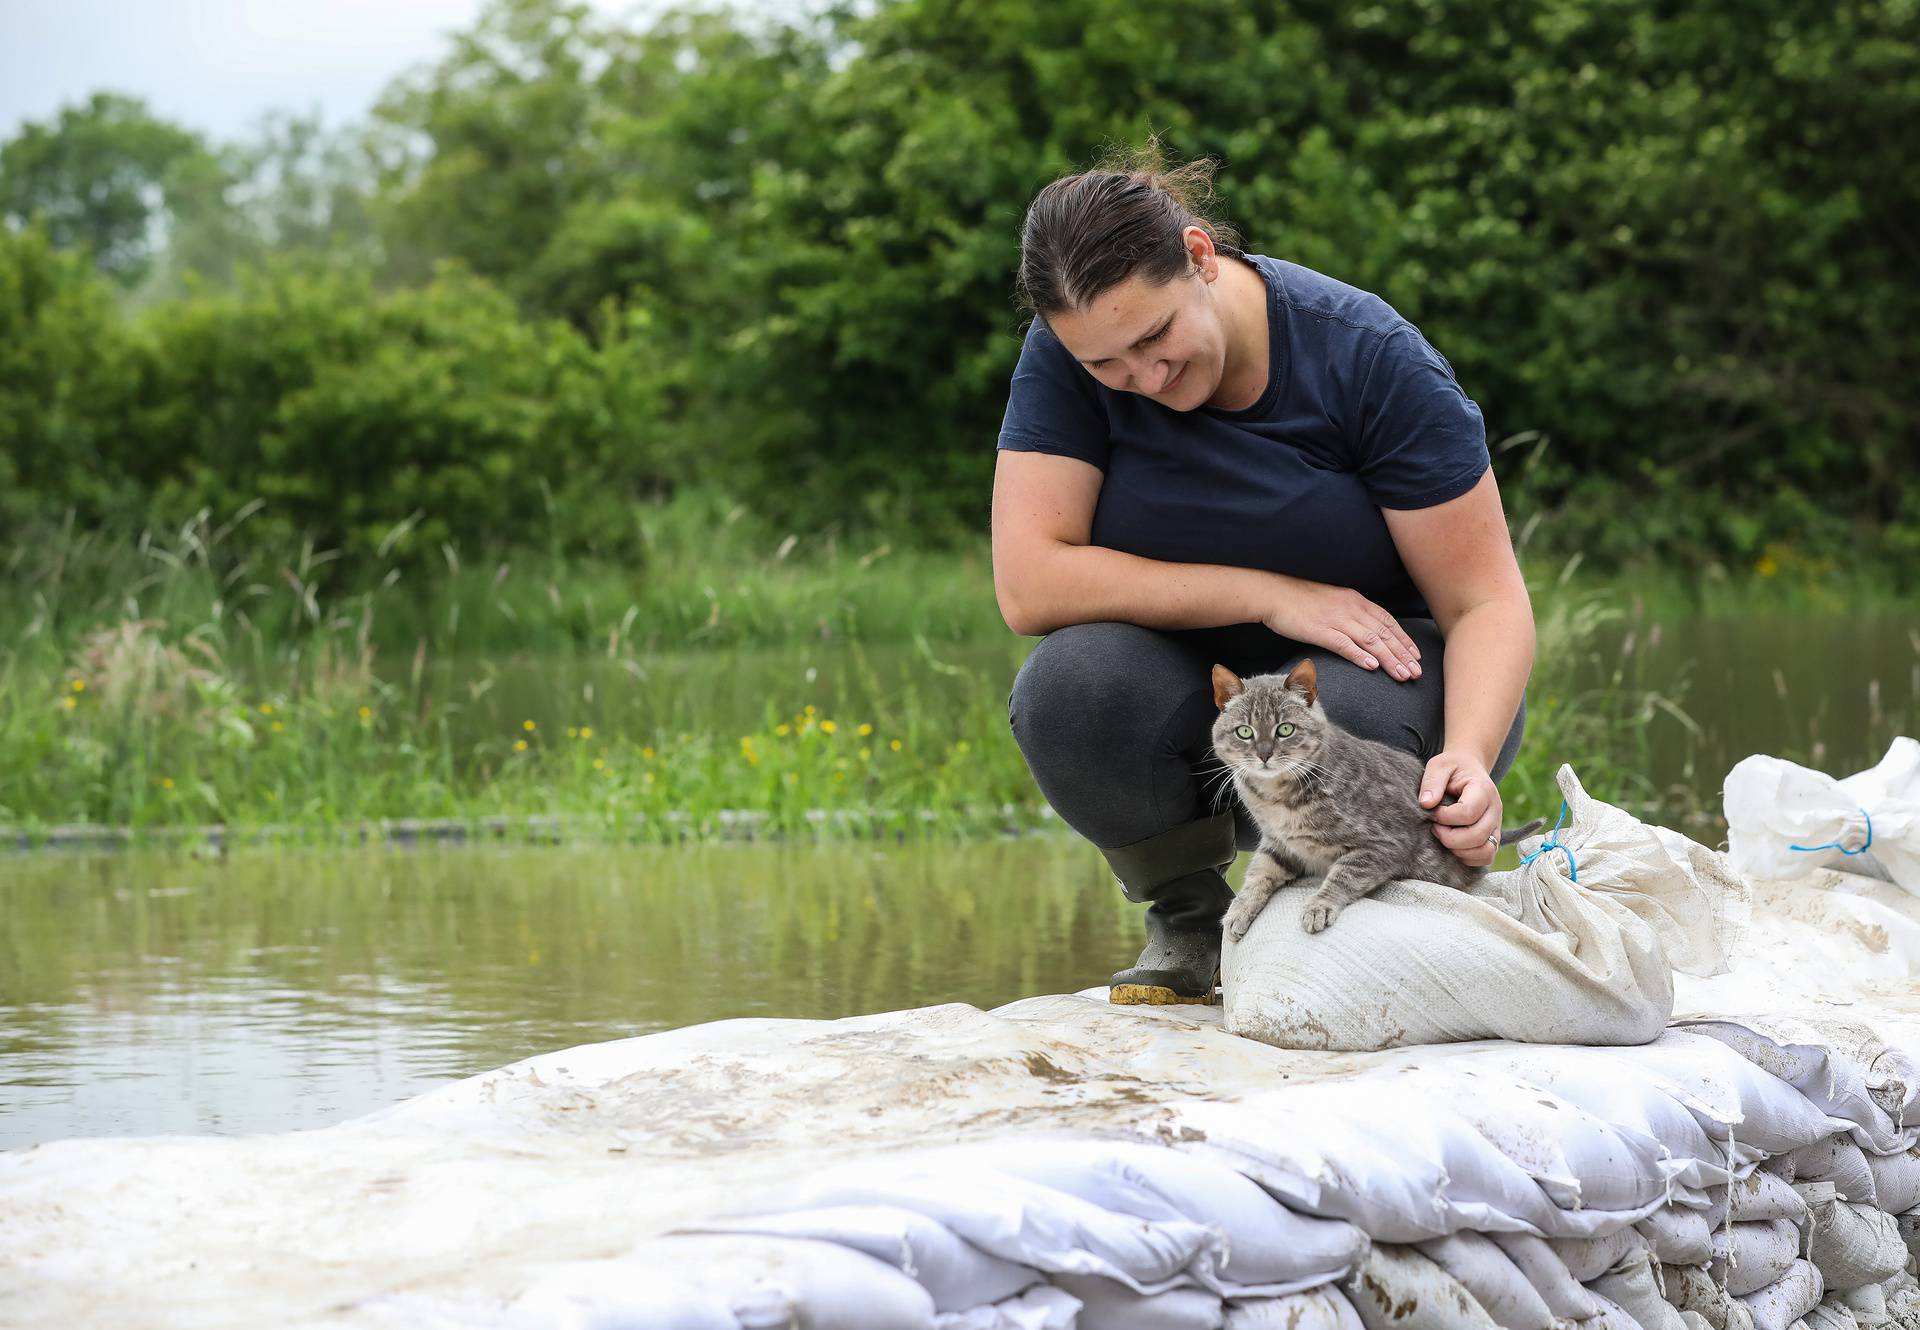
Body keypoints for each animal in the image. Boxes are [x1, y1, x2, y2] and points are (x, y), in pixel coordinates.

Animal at [1213, 660, 1543, 932]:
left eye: (1284, 729)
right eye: (1244, 732)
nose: (1264, 754)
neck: (1276, 797)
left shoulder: (1383, 844)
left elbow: (1344, 873)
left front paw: (1320, 905)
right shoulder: (1278, 844)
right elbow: (1259, 872)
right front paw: (1240, 908)